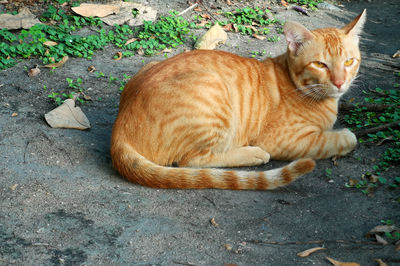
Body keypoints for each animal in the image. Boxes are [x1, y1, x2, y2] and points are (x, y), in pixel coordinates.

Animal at [109, 9, 366, 189]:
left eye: (349, 62)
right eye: (320, 65)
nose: (340, 82)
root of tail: (119, 130)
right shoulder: (285, 140)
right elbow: (340, 140)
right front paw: (345, 135)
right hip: (212, 91)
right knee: (192, 161)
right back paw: (252, 153)